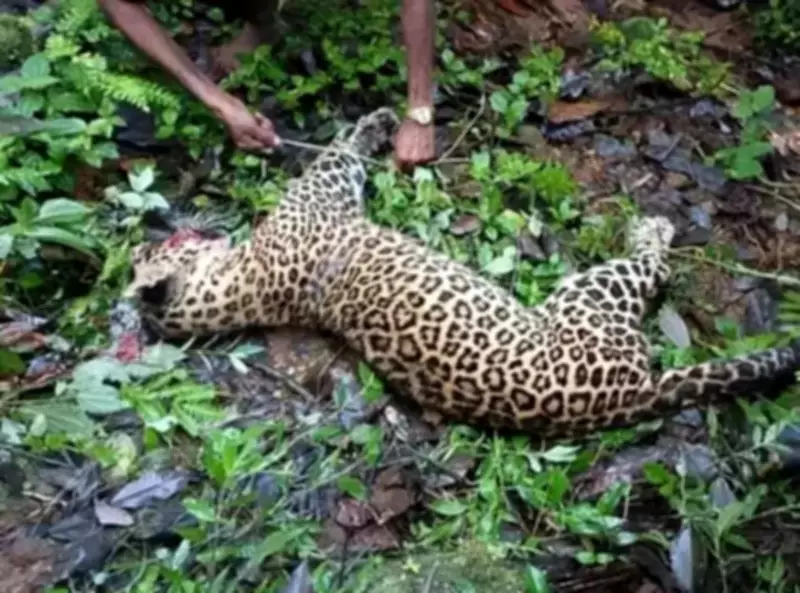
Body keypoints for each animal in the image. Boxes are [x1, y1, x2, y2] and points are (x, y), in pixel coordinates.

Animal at [124, 106, 800, 439]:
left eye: (156, 247)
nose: (174, 230)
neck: (240, 286)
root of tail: (631, 396)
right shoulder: (325, 190)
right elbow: (342, 152)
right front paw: (375, 122)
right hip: (588, 296)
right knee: (650, 265)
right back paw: (651, 228)